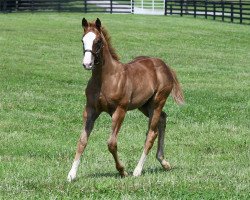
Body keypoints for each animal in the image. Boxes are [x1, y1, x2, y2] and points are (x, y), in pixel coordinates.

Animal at [67, 18, 185, 182]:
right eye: (82, 40)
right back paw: (164, 162)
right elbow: (82, 141)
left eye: (98, 41)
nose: (87, 64)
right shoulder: (90, 110)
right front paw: (71, 174)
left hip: (157, 102)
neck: (106, 79)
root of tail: (165, 65)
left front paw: (122, 171)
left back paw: (137, 170)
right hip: (145, 105)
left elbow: (111, 143)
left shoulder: (120, 110)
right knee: (162, 119)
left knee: (151, 133)